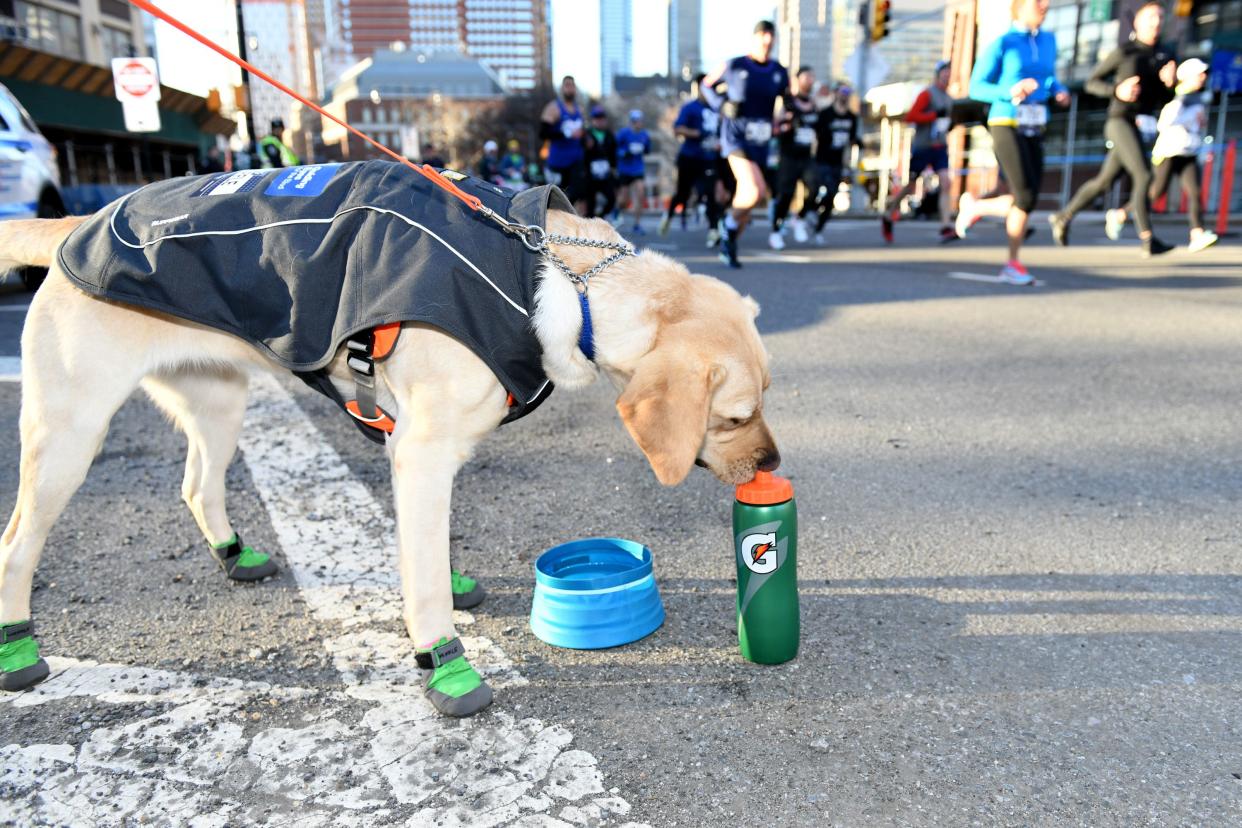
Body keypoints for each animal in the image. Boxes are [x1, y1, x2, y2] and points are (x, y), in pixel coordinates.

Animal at [0, 203, 775, 715]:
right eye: (735, 417)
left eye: (768, 397)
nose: (773, 461)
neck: (555, 281)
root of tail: (79, 224)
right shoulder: (423, 449)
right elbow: (424, 580)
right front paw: (444, 663)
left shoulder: (427, 453)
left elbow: (426, 550)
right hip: (70, 431)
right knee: (16, 543)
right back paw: (19, 652)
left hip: (218, 402)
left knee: (196, 485)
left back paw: (233, 554)